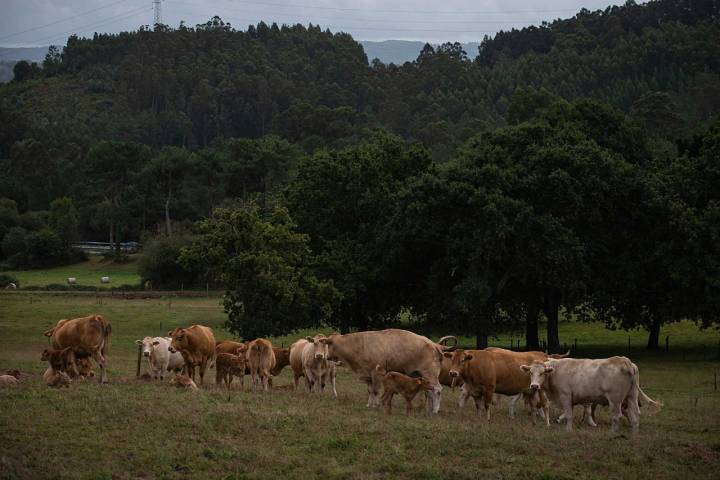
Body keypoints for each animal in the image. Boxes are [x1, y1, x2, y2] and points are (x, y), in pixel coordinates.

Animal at [520, 354, 660, 434]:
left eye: (542, 373)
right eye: (531, 372)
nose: (534, 386)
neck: (556, 371)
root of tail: (624, 360)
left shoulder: (565, 396)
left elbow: (569, 415)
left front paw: (568, 430)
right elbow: (570, 414)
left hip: (615, 400)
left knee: (617, 416)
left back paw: (612, 433)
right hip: (632, 396)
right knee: (635, 415)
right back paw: (634, 435)